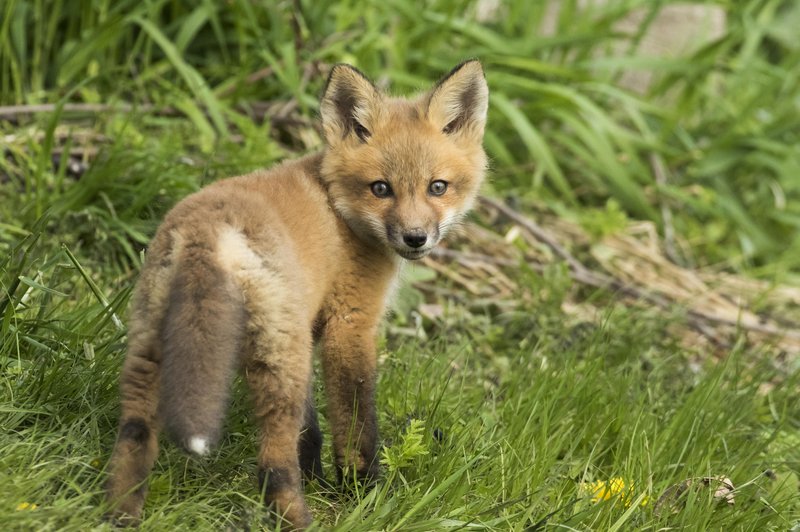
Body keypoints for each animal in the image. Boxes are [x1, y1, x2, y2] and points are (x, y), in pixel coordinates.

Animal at [108, 61, 488, 528]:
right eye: (381, 189)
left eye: (438, 187)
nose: (415, 238)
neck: (339, 211)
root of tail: (206, 234)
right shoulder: (349, 324)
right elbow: (355, 422)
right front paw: (364, 493)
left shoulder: (307, 326)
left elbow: (311, 432)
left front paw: (319, 479)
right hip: (278, 362)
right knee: (273, 464)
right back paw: (299, 518)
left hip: (154, 349)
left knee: (134, 436)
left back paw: (120, 514)